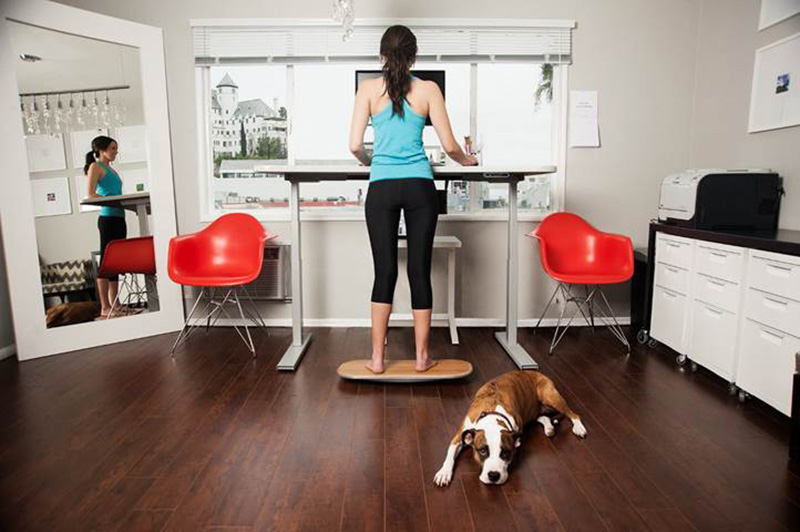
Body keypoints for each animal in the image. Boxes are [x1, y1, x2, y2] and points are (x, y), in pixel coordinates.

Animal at [434, 370, 584, 486]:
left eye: (506, 452)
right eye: (482, 451)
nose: (494, 475)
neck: (492, 414)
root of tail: (535, 372)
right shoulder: (459, 436)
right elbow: (450, 455)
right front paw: (444, 472)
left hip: (549, 395)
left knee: (572, 413)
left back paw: (579, 427)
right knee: (542, 417)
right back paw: (549, 428)